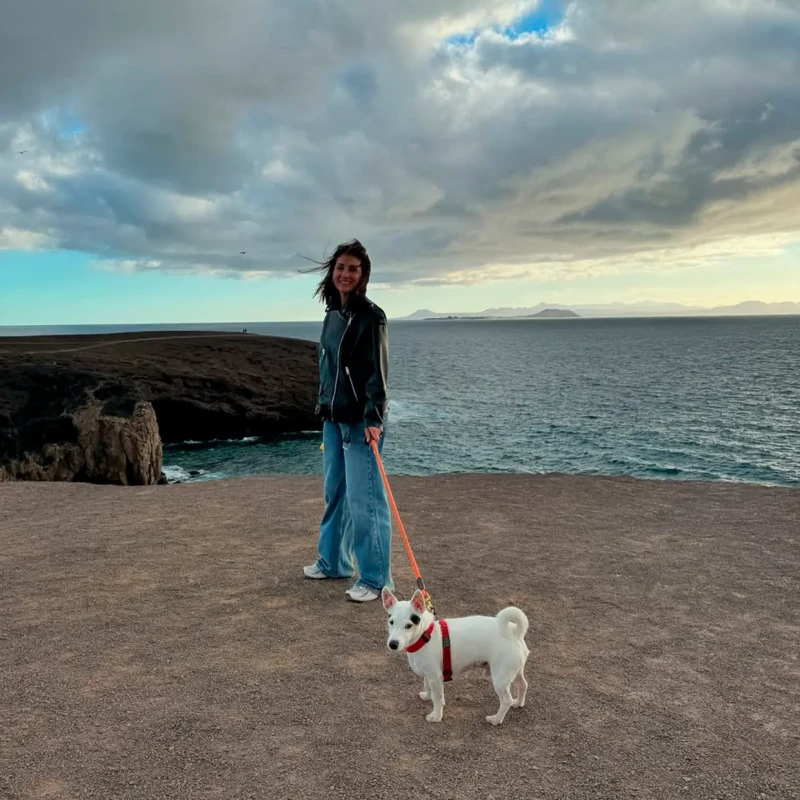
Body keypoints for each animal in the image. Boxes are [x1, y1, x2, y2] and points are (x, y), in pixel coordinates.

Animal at [382, 588, 532, 724]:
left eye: (409, 625)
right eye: (391, 622)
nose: (393, 644)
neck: (424, 636)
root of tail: (514, 633)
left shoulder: (435, 677)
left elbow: (437, 698)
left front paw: (436, 716)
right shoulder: (429, 675)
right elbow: (427, 687)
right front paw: (427, 696)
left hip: (500, 678)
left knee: (506, 700)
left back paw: (496, 719)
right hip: (515, 672)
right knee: (523, 685)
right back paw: (518, 703)